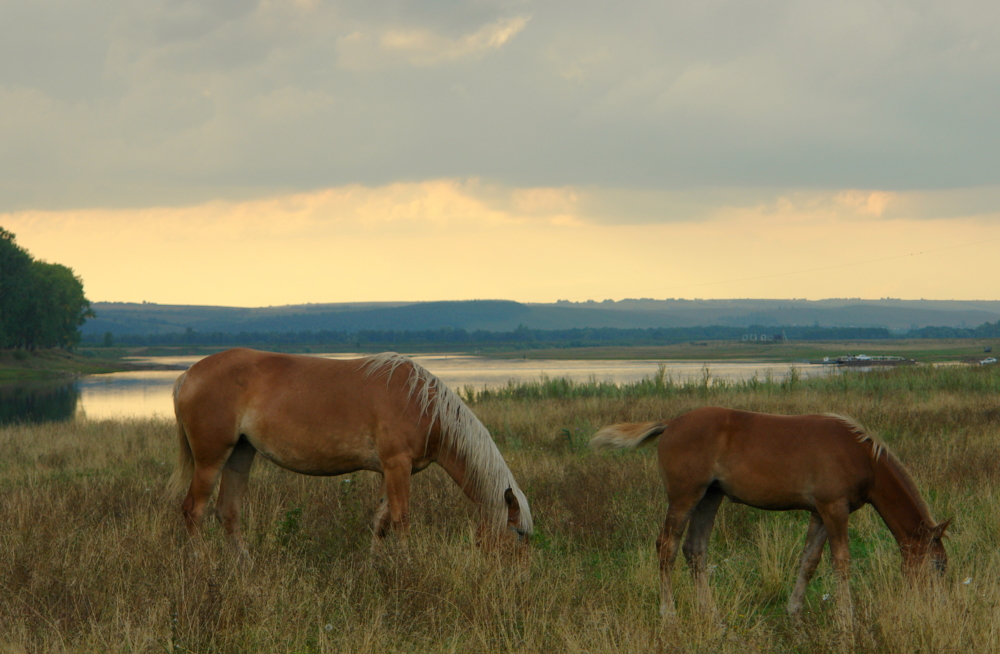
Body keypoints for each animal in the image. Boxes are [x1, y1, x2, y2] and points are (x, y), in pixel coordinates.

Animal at [174, 352, 532, 552]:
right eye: (517, 534)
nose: (520, 579)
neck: (425, 406)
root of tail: (188, 374)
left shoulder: (393, 470)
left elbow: (381, 522)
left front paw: (374, 567)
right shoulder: (397, 465)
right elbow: (401, 520)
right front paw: (407, 566)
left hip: (240, 455)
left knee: (228, 513)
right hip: (211, 458)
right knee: (193, 512)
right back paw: (202, 567)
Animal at [588, 408, 948, 624]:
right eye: (937, 565)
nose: (936, 606)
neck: (859, 454)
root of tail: (670, 424)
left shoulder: (819, 513)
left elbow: (809, 561)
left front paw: (795, 613)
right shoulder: (834, 509)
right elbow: (842, 561)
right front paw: (847, 619)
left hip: (710, 497)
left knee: (695, 550)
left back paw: (713, 616)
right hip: (684, 497)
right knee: (667, 547)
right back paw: (669, 615)